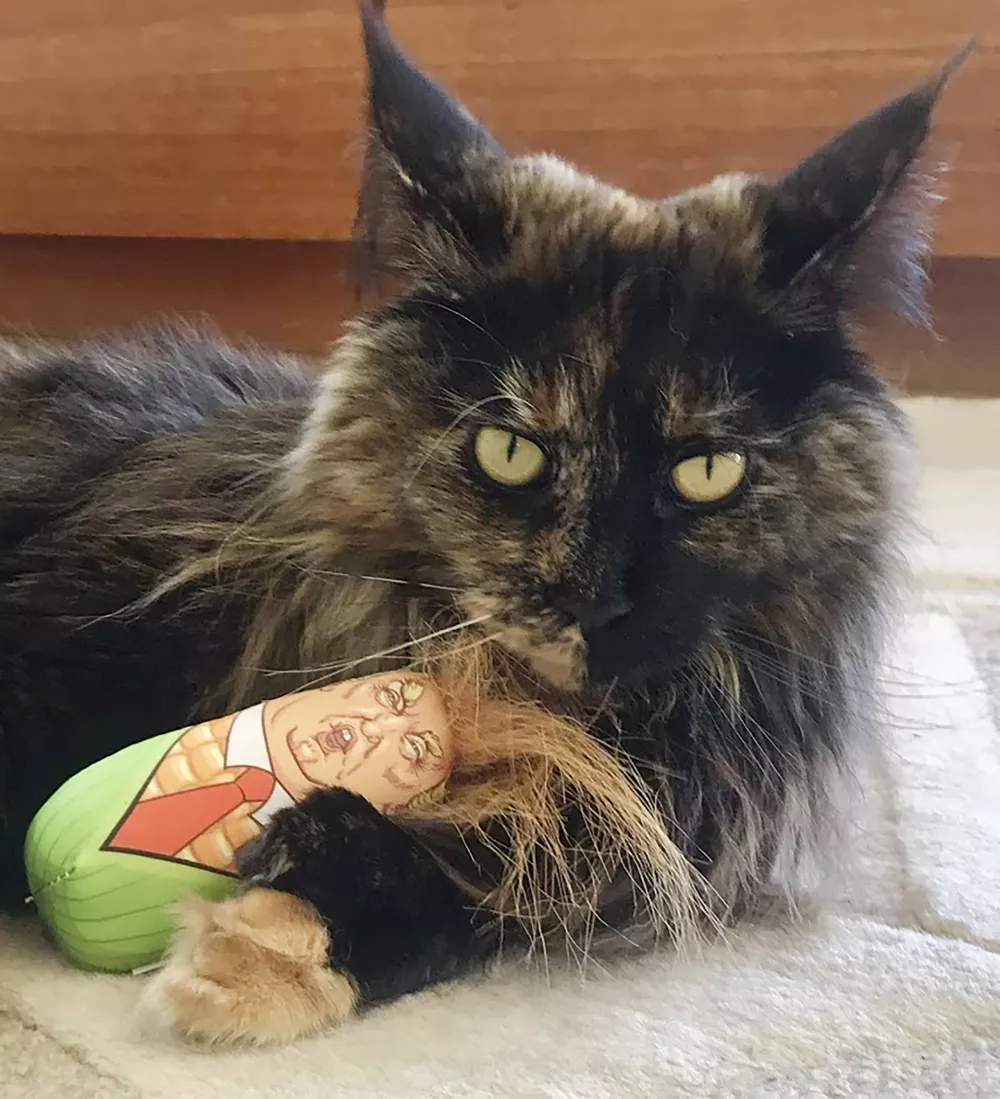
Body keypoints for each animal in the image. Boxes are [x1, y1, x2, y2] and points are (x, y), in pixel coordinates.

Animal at [0, 0, 971, 1046]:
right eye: (511, 452)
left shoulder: (662, 829)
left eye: (707, 471)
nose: (593, 600)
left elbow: (498, 885)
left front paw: (275, 939)